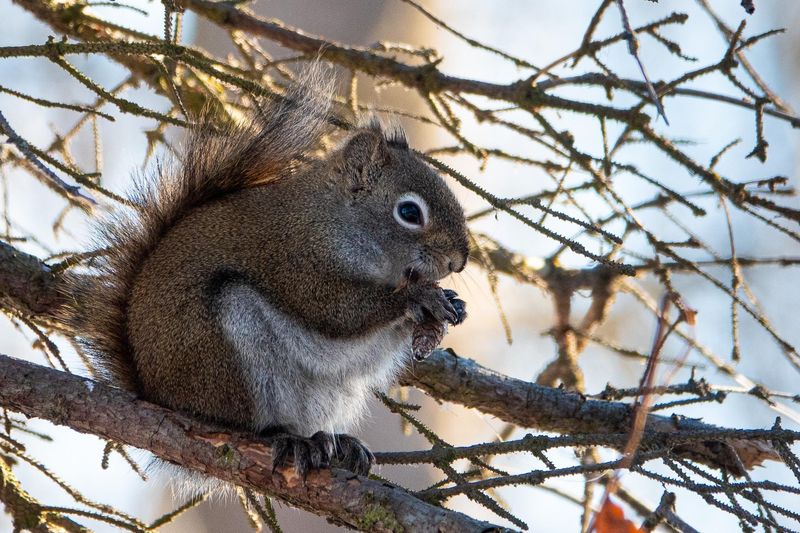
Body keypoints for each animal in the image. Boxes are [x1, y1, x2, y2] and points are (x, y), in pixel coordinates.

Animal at [62, 72, 469, 478]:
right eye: (409, 212)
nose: (459, 262)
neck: (335, 221)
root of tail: (157, 394)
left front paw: (449, 303)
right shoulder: (290, 258)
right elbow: (337, 311)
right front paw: (417, 297)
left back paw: (337, 443)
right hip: (225, 353)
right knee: (242, 422)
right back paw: (284, 437)